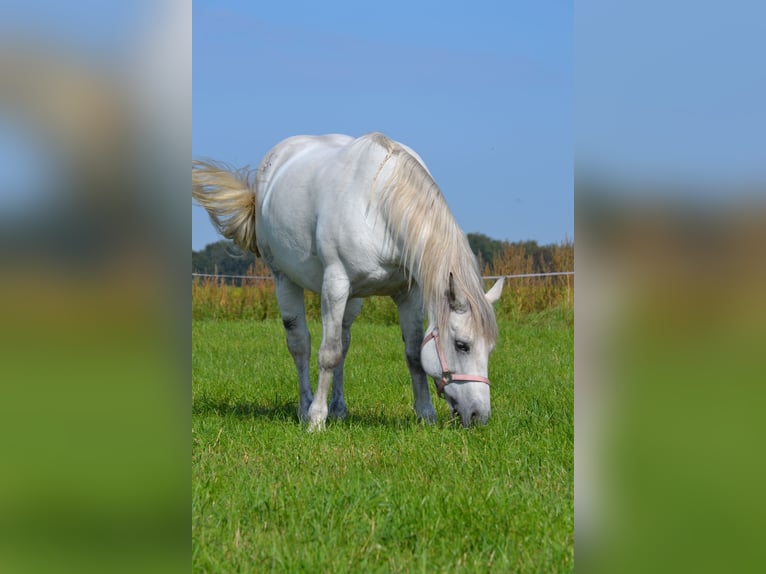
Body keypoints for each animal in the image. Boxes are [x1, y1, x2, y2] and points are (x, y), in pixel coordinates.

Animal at [192, 132, 504, 430]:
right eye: (462, 345)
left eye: (490, 348)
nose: (479, 415)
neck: (380, 208)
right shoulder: (335, 285)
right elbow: (328, 354)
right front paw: (316, 420)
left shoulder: (408, 294)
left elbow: (413, 355)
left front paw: (425, 416)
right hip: (285, 280)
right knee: (300, 344)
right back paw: (305, 408)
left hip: (353, 298)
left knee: (343, 341)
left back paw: (339, 411)